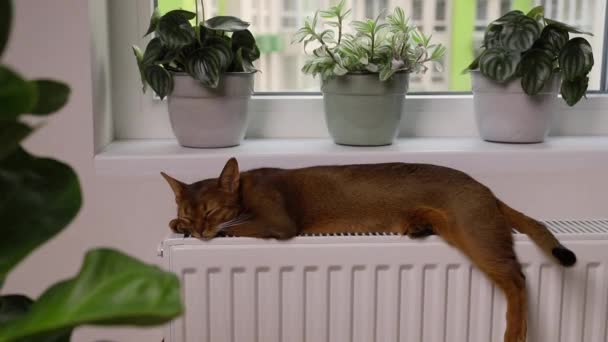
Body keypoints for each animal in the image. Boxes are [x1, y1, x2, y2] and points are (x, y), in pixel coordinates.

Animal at [160, 158, 576, 342]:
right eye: (188, 211)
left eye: (210, 211)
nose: (197, 229)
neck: (246, 186)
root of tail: (486, 189)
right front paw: (176, 226)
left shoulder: (277, 222)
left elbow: (236, 227)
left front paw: (213, 231)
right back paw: (418, 226)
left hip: (474, 233)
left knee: (516, 278)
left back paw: (514, 332)